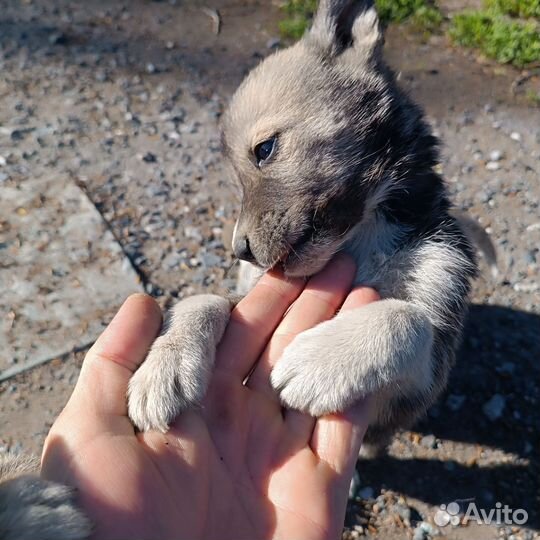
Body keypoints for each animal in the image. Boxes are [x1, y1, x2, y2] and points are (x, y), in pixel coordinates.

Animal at [127, 0, 476, 456]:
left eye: (264, 149)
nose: (240, 252)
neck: (359, 238)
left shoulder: (419, 381)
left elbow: (406, 317)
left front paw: (322, 360)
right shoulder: (249, 296)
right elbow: (203, 300)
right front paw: (164, 365)